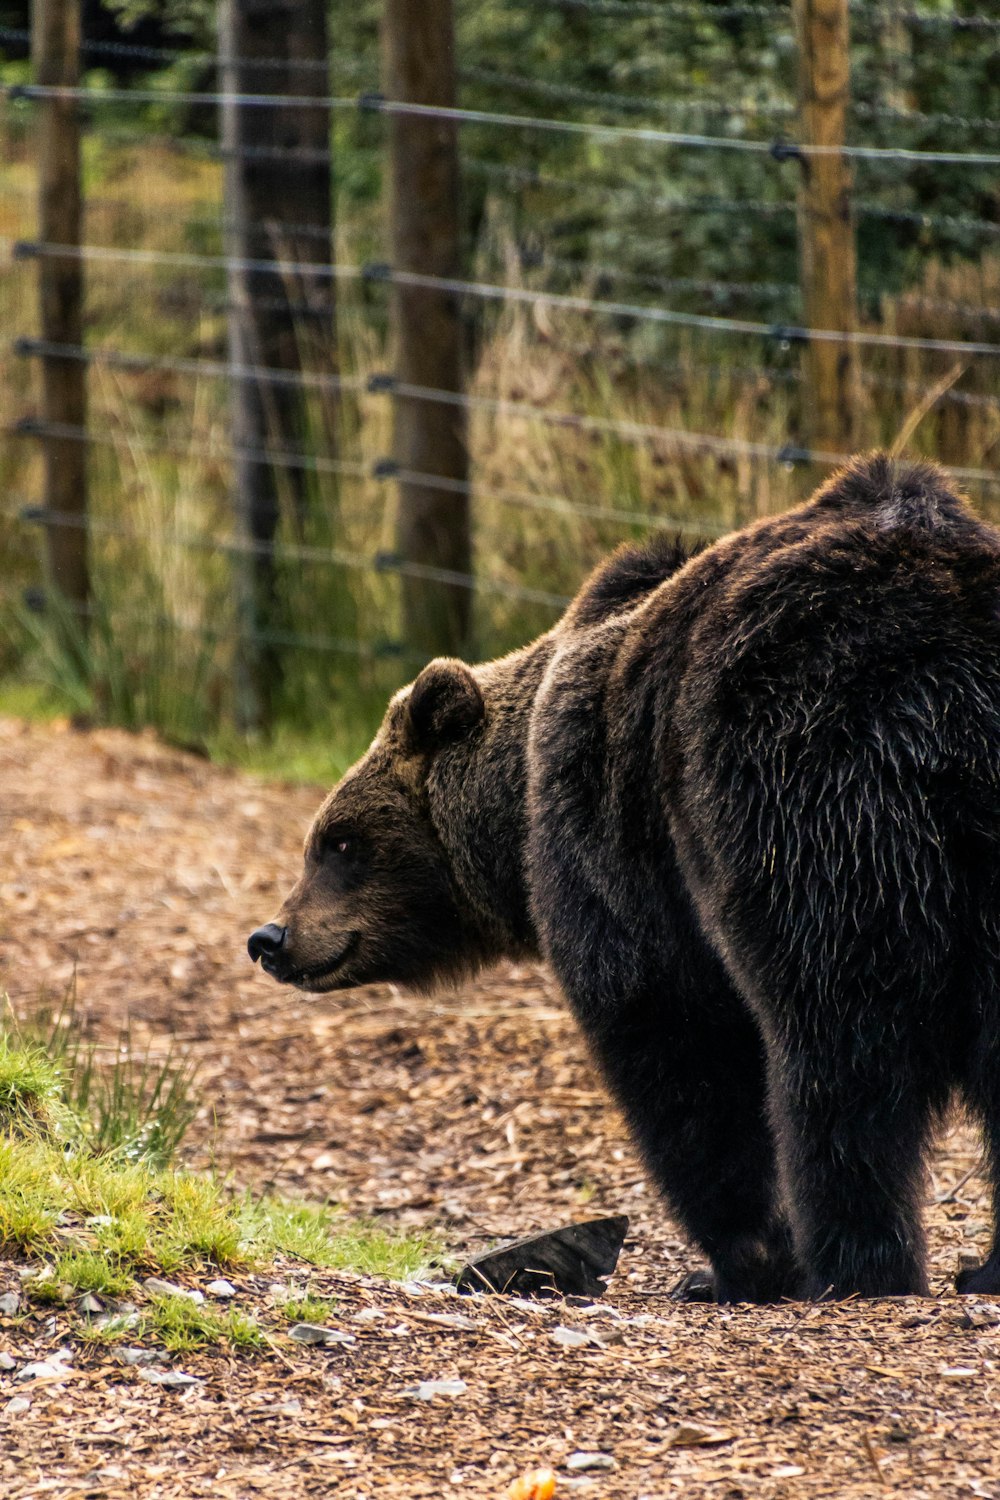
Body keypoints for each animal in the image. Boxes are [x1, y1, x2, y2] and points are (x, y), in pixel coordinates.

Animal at [250, 453, 1000, 1302]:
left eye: (340, 842)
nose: (271, 937)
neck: (513, 811)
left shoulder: (610, 842)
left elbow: (667, 1038)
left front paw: (736, 1263)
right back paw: (981, 1265)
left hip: (806, 780)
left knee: (836, 1039)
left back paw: (854, 1262)